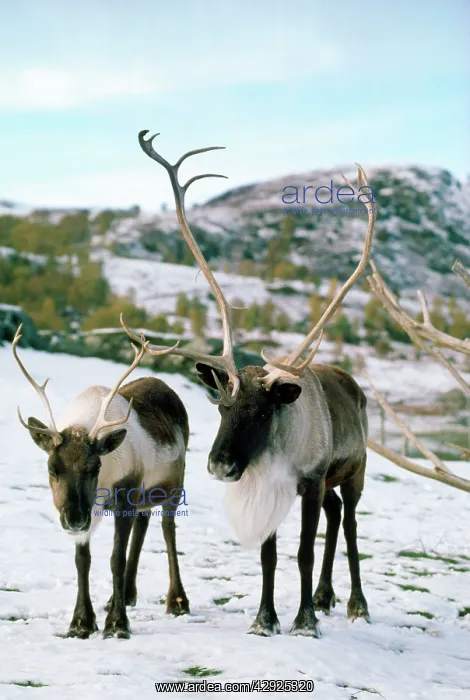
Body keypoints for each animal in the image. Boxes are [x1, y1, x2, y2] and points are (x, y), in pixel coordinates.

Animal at [12, 326, 190, 639]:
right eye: (52, 468)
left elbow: (115, 559)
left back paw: (177, 600)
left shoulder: (124, 496)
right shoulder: (89, 513)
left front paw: (117, 624)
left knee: (168, 530)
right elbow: (83, 561)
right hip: (142, 497)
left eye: (94, 466)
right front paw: (81, 622)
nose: (73, 519)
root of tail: (166, 387)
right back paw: (126, 595)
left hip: (173, 487)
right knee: (143, 525)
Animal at [121, 130, 376, 638]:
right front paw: (265, 619)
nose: (219, 466)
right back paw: (325, 596)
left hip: (354, 471)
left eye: (263, 410)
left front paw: (304, 622)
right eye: (220, 406)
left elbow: (302, 552)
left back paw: (355, 604)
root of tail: (353, 386)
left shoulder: (310, 481)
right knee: (337, 516)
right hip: (333, 484)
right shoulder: (274, 489)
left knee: (351, 523)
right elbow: (269, 556)